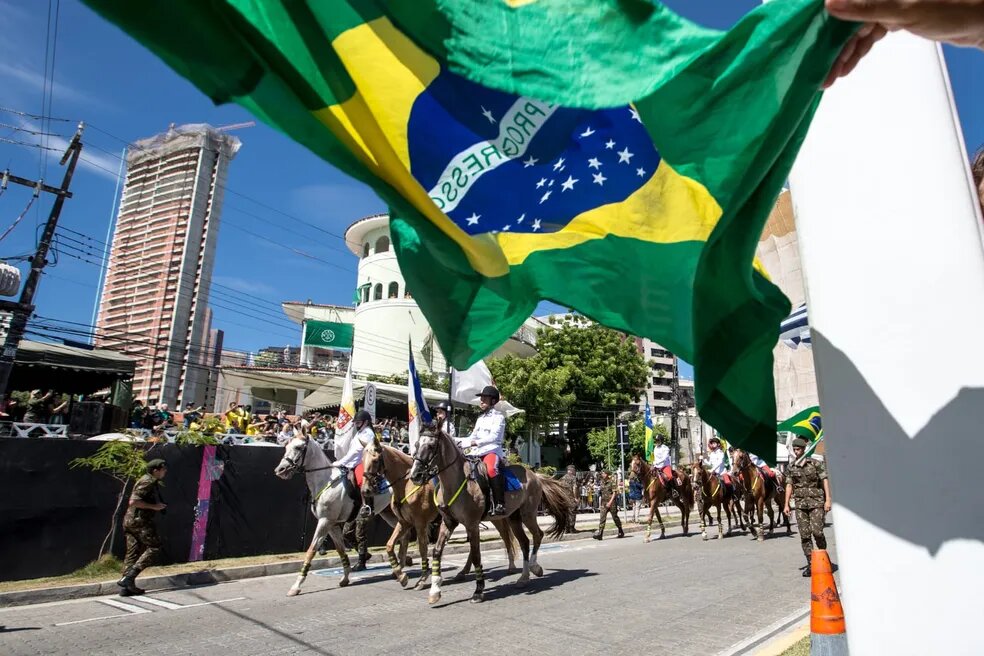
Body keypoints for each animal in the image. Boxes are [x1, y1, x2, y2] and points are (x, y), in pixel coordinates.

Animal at [272, 436, 400, 596]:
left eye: (299, 447)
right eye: (286, 446)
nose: (280, 470)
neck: (326, 481)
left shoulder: (325, 522)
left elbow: (311, 550)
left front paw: (296, 586)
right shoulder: (332, 525)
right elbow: (341, 550)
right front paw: (345, 578)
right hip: (388, 513)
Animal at [360, 436, 516, 588]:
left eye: (375, 460)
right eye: (362, 460)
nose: (365, 490)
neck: (406, 484)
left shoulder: (420, 523)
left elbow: (422, 548)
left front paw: (423, 577)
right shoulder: (404, 522)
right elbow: (390, 545)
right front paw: (401, 575)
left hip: (493, 518)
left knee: (505, 536)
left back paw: (511, 566)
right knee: (475, 546)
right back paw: (464, 571)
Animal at [408, 426, 576, 604]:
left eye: (431, 446)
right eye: (417, 444)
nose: (415, 475)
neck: (458, 481)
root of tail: (535, 475)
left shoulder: (472, 524)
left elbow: (476, 555)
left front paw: (478, 590)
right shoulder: (448, 522)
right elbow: (437, 552)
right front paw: (435, 590)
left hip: (528, 514)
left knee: (538, 535)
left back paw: (534, 567)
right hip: (513, 518)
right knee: (524, 542)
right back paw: (523, 578)